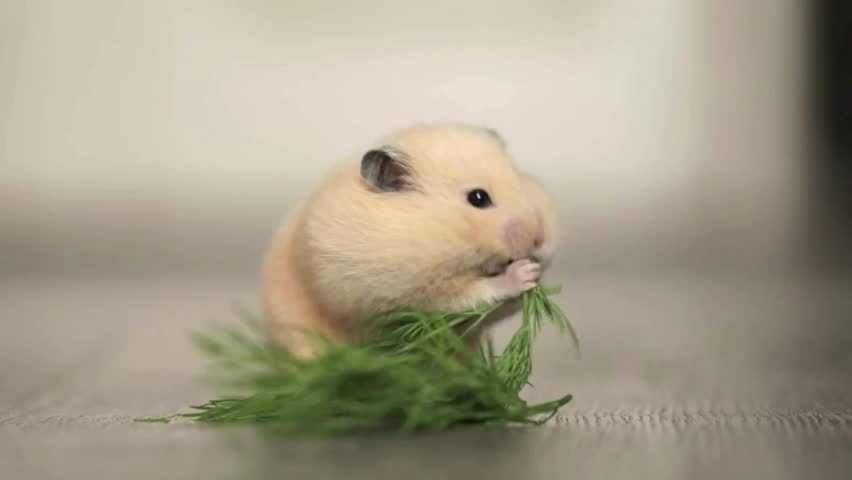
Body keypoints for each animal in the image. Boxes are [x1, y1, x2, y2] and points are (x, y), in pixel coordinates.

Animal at [261, 123, 559, 358]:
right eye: (478, 198)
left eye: (520, 183)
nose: (540, 239)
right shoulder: (410, 298)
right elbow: (473, 295)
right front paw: (525, 272)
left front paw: (538, 273)